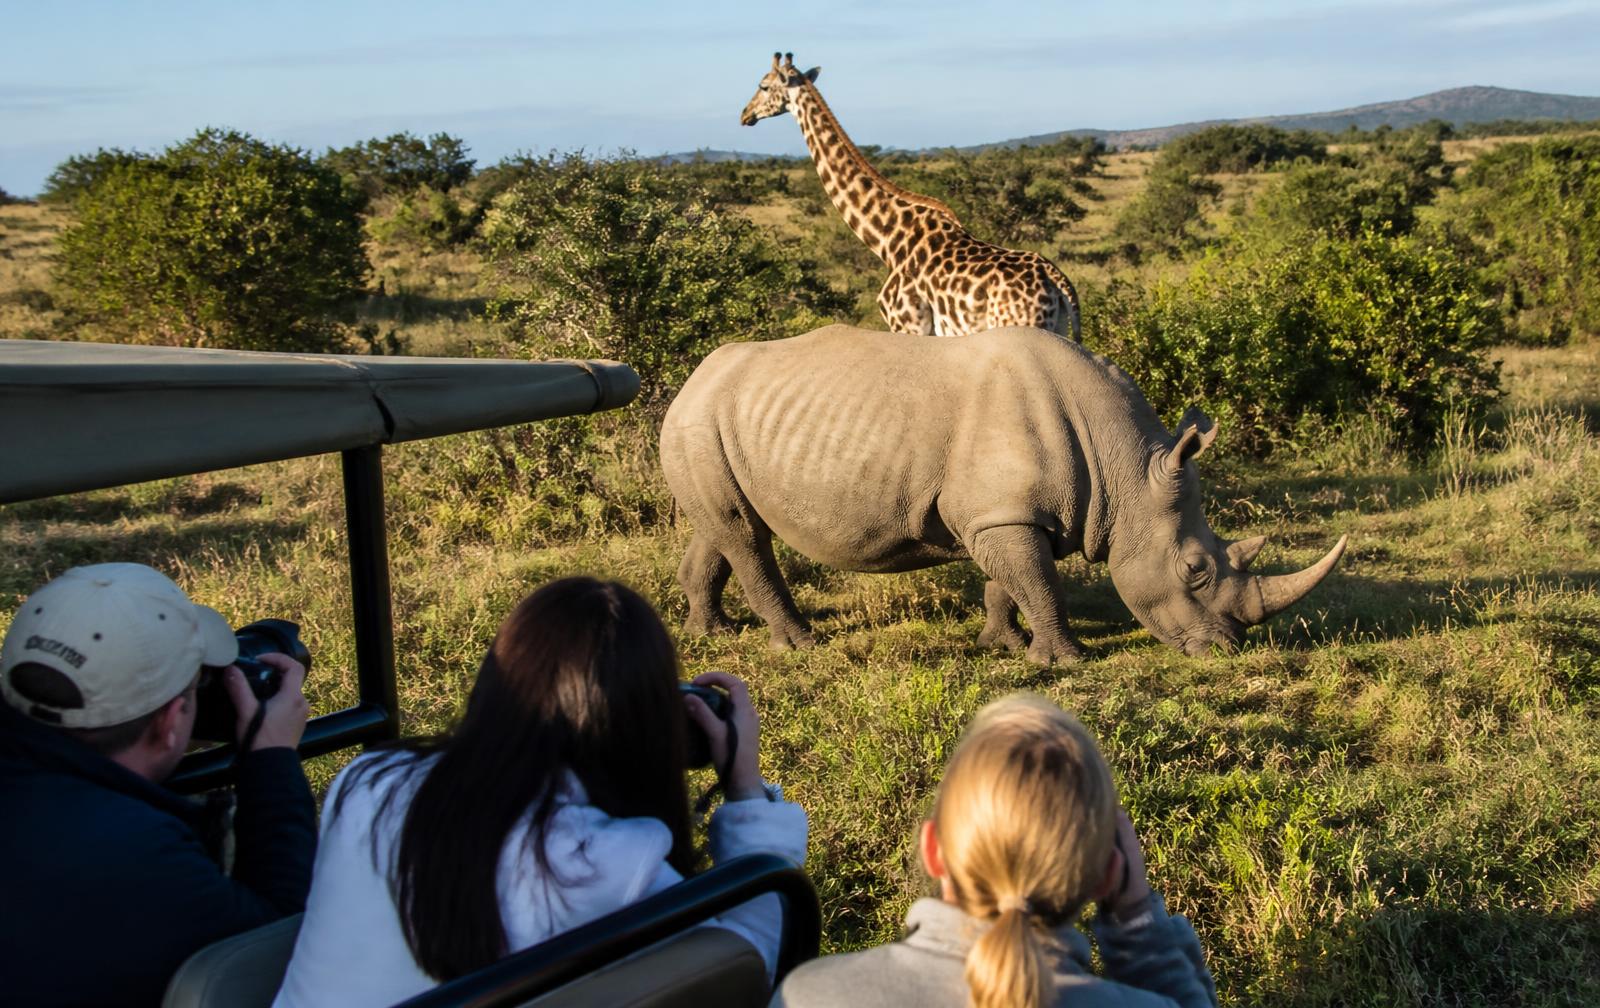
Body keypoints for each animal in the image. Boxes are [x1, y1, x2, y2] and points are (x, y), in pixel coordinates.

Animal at [659, 324, 1346, 663]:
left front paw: (1005, 645)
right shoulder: (1003, 515)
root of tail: (689, 378)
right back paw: (800, 646)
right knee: (743, 533)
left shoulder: (1002, 513)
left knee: (724, 527)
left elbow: (1009, 582)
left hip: (711, 424)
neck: (1125, 469)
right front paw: (1065, 662)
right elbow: (1040, 582)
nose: (1227, 651)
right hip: (699, 421)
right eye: (1196, 570)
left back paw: (711, 634)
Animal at [740, 52, 1081, 341]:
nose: (745, 114)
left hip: (1021, 324)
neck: (888, 238)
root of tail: (1057, 281)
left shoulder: (907, 324)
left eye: (763, 85)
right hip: (1059, 331)